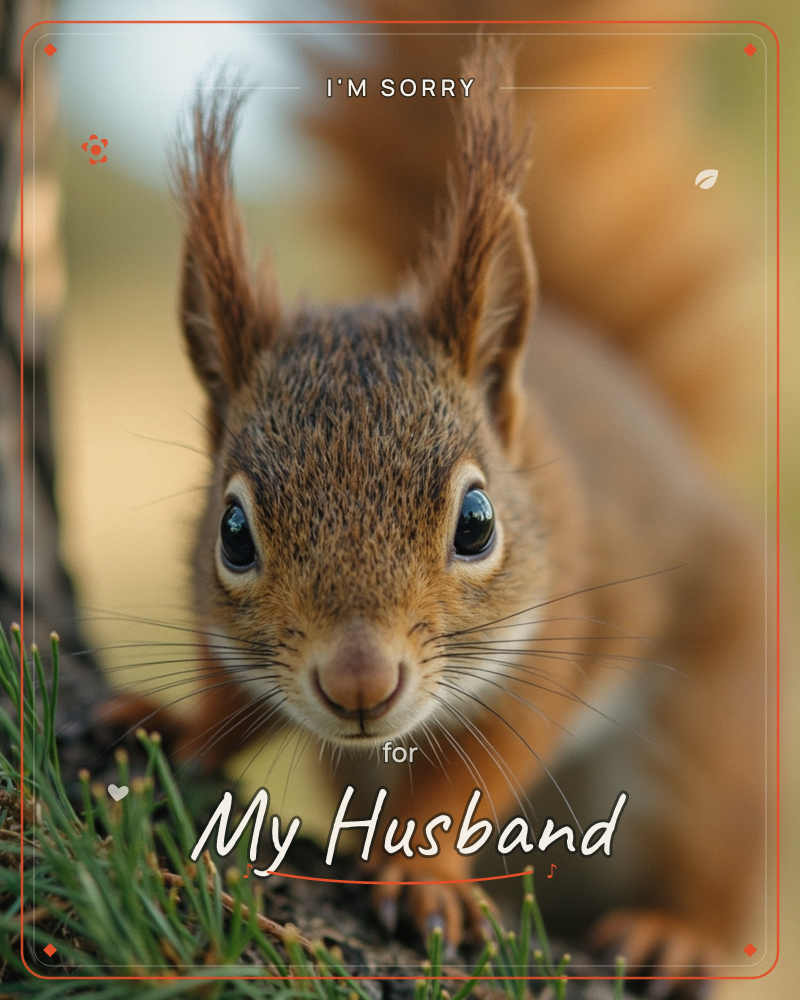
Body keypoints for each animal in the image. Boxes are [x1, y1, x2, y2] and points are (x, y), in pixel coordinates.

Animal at [108, 39, 768, 994]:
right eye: (231, 533)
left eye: (477, 523)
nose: (357, 683)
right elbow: (233, 696)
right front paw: (178, 724)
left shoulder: (556, 636)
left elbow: (474, 768)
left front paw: (424, 870)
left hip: (717, 743)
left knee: (716, 862)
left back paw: (676, 933)